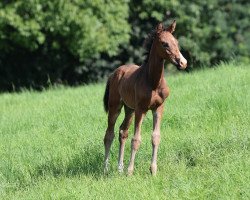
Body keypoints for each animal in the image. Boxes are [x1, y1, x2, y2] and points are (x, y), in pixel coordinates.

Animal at [102, 20, 187, 175]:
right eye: (165, 44)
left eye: (176, 42)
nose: (183, 63)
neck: (153, 81)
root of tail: (114, 73)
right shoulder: (141, 109)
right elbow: (136, 139)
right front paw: (130, 171)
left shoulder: (158, 108)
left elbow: (155, 137)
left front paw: (153, 170)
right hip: (115, 106)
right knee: (109, 135)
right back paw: (105, 169)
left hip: (129, 109)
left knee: (123, 132)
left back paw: (119, 168)